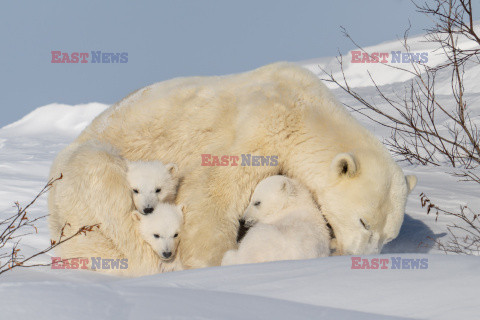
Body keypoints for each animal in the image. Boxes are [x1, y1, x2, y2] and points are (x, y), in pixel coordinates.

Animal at [47, 62, 416, 272]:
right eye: (364, 221)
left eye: (389, 236)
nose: (361, 259)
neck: (306, 110)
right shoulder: (259, 128)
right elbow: (212, 194)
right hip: (80, 189)